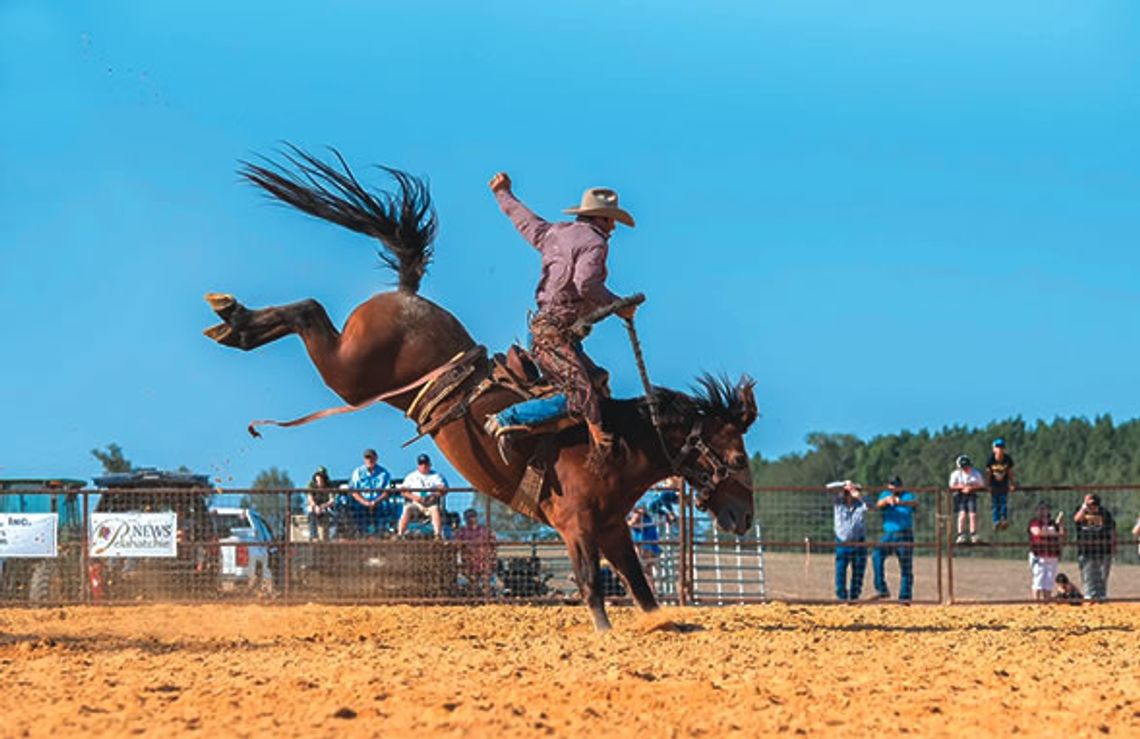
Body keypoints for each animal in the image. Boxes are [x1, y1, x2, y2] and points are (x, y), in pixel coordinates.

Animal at [205, 147, 756, 634]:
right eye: (736, 457)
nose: (745, 518)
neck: (621, 443)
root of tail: (407, 293)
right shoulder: (576, 524)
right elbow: (590, 584)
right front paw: (604, 632)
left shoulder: (614, 528)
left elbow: (640, 588)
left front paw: (663, 624)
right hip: (350, 370)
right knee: (310, 311)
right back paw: (234, 319)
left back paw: (232, 322)